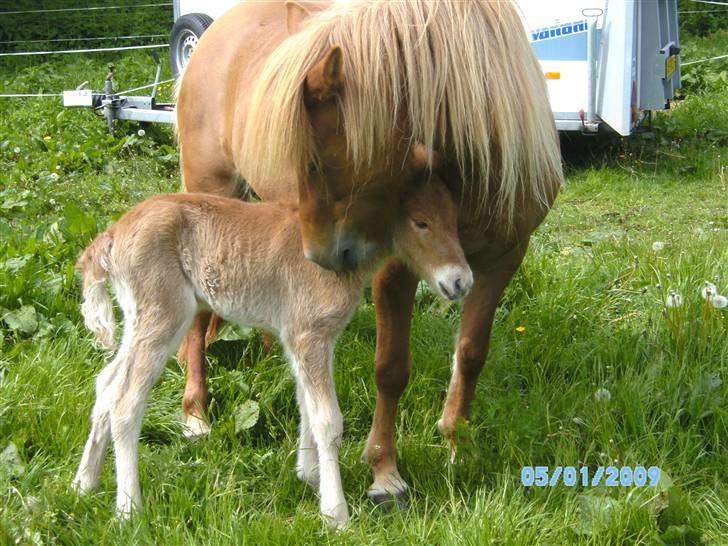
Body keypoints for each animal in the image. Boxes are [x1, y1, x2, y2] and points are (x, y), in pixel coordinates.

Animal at [72, 176, 472, 524]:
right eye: (420, 222)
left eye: (455, 220)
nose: (461, 281)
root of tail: (112, 235)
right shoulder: (308, 334)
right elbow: (328, 419)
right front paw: (336, 513)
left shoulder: (308, 339)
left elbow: (307, 404)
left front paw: (310, 477)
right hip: (165, 315)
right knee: (126, 402)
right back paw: (129, 509)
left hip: (138, 318)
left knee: (106, 384)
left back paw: (84, 484)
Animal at [176, 0, 564, 502]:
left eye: (315, 163)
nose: (321, 256)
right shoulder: (396, 270)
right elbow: (391, 368)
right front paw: (385, 473)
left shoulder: (503, 260)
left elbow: (472, 354)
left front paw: (458, 447)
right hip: (210, 189)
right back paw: (196, 413)